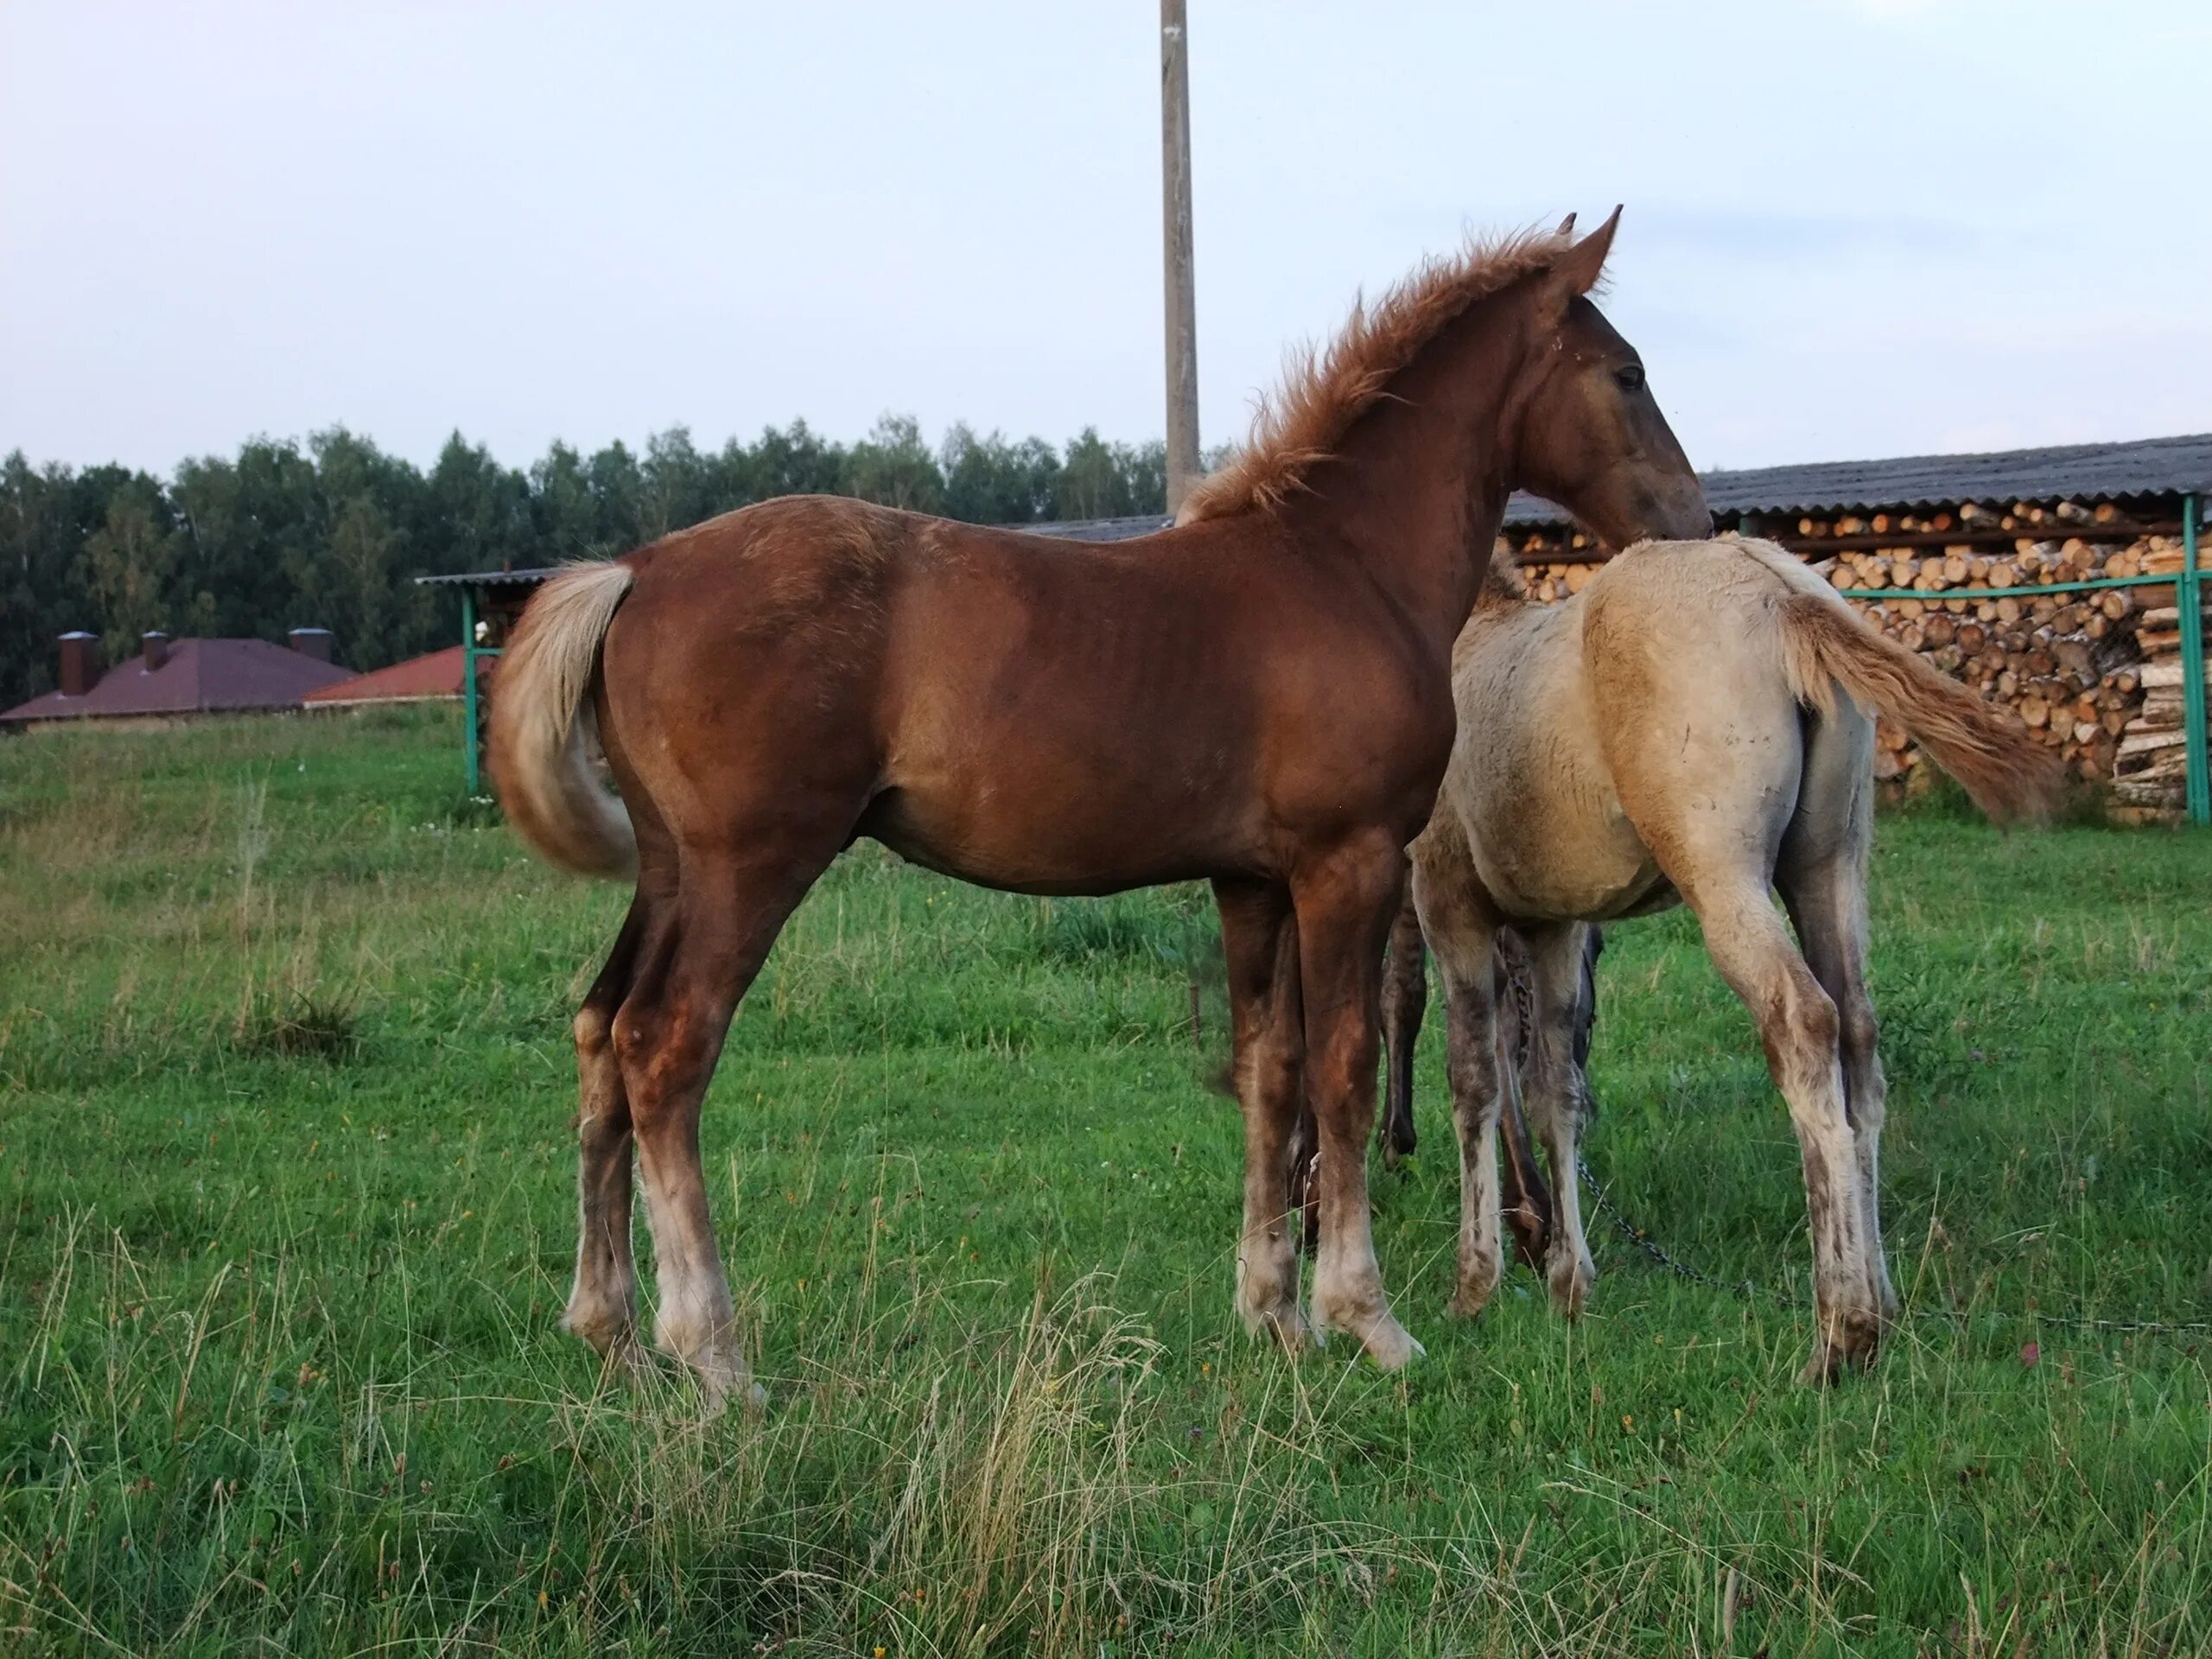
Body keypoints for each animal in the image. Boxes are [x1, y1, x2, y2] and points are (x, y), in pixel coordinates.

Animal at [493, 204, 1699, 1407]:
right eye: (1627, 372)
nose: (1685, 519)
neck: (1340, 570)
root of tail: (635, 570)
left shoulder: (1253, 881)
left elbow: (1270, 1073)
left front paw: (1274, 1318)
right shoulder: (1345, 864)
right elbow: (1345, 1070)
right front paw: (1365, 1319)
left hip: (670, 869)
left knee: (600, 1030)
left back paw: (608, 1328)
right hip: (751, 866)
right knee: (664, 1048)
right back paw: (714, 1354)